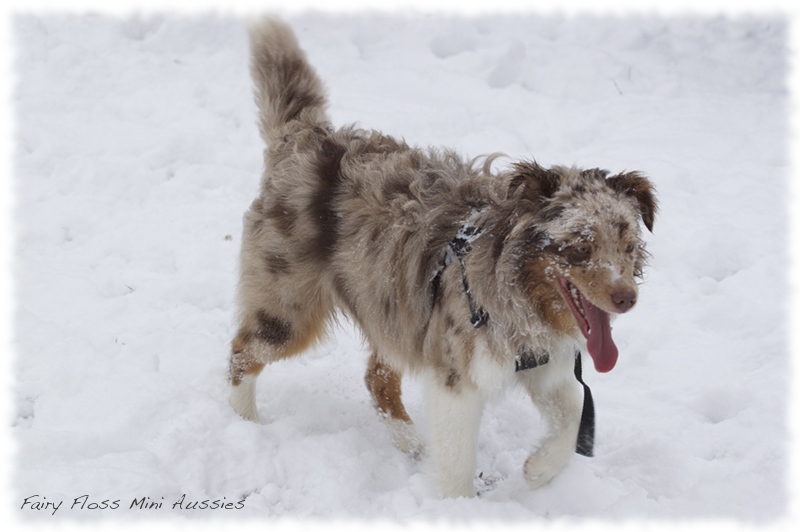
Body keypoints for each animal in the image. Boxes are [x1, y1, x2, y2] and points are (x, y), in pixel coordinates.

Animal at [230, 17, 656, 498]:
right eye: (581, 248)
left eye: (628, 247)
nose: (626, 298)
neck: (521, 294)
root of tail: (304, 137)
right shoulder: (458, 373)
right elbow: (457, 463)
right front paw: (458, 505)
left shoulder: (541, 362)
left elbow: (575, 407)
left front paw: (539, 470)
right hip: (288, 310)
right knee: (242, 353)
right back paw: (243, 424)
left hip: (395, 308)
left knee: (377, 377)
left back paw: (411, 444)